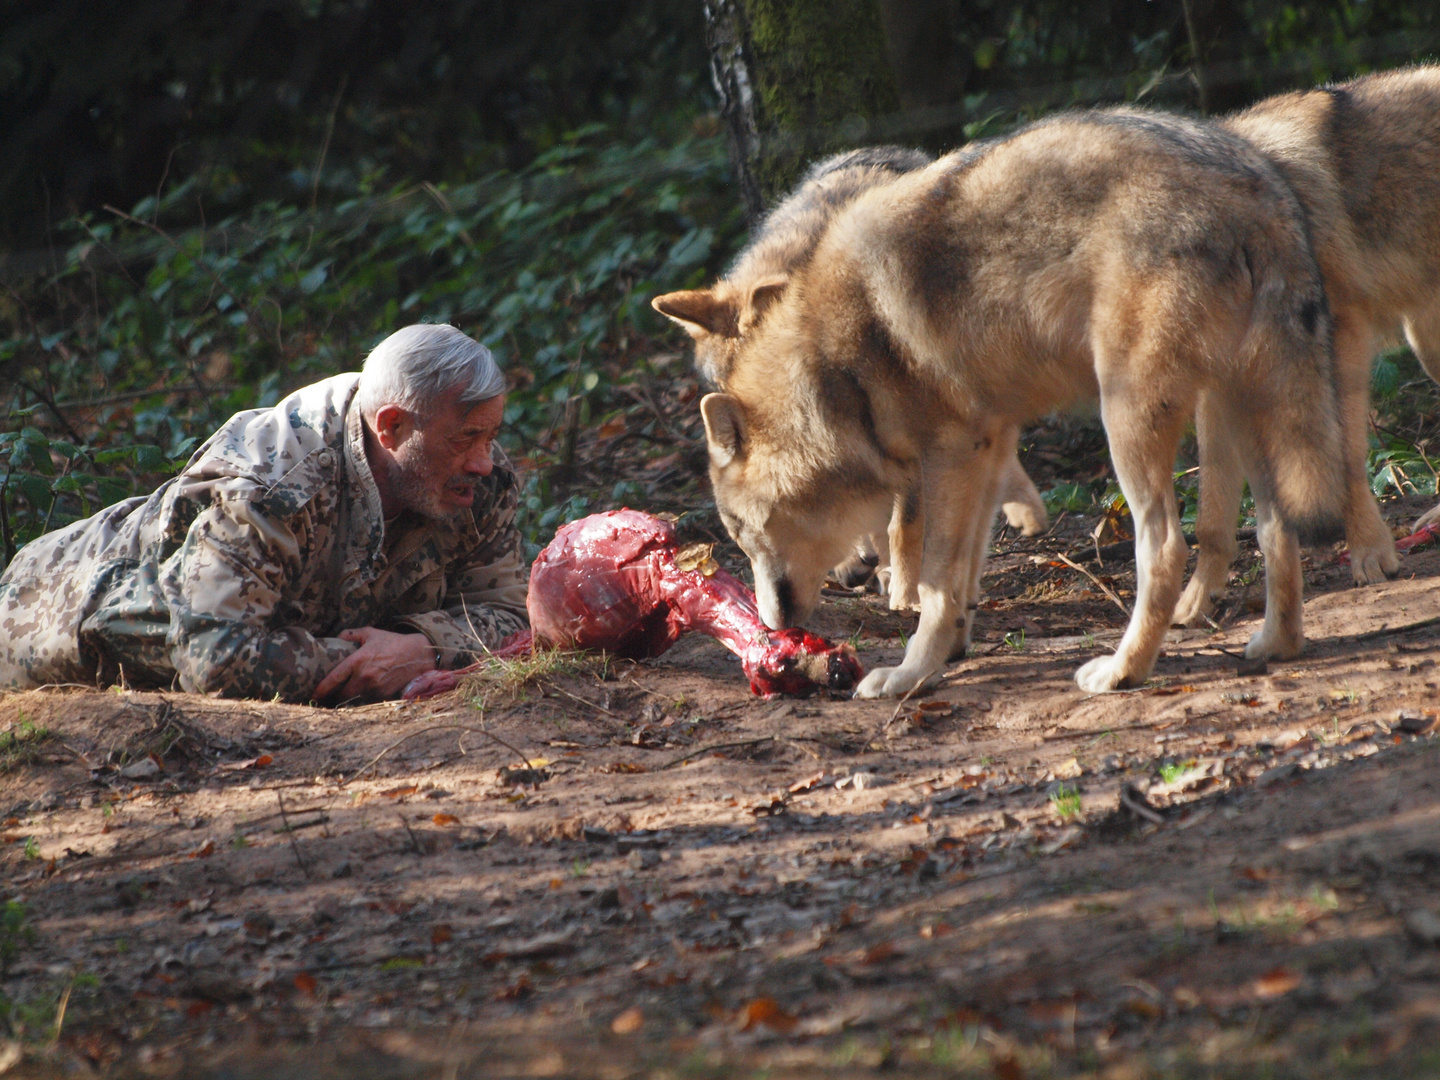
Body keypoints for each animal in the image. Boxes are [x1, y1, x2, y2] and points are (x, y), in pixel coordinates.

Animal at [665, 110, 1347, 702]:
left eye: (739, 531)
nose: (773, 624)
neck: (835, 372)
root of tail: (1253, 185)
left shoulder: (947, 458)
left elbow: (932, 578)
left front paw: (909, 673)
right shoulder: (984, 449)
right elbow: (964, 573)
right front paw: (949, 651)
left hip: (1127, 421)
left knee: (1166, 548)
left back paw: (1123, 671)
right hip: (1243, 409)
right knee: (1277, 526)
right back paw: (1276, 645)